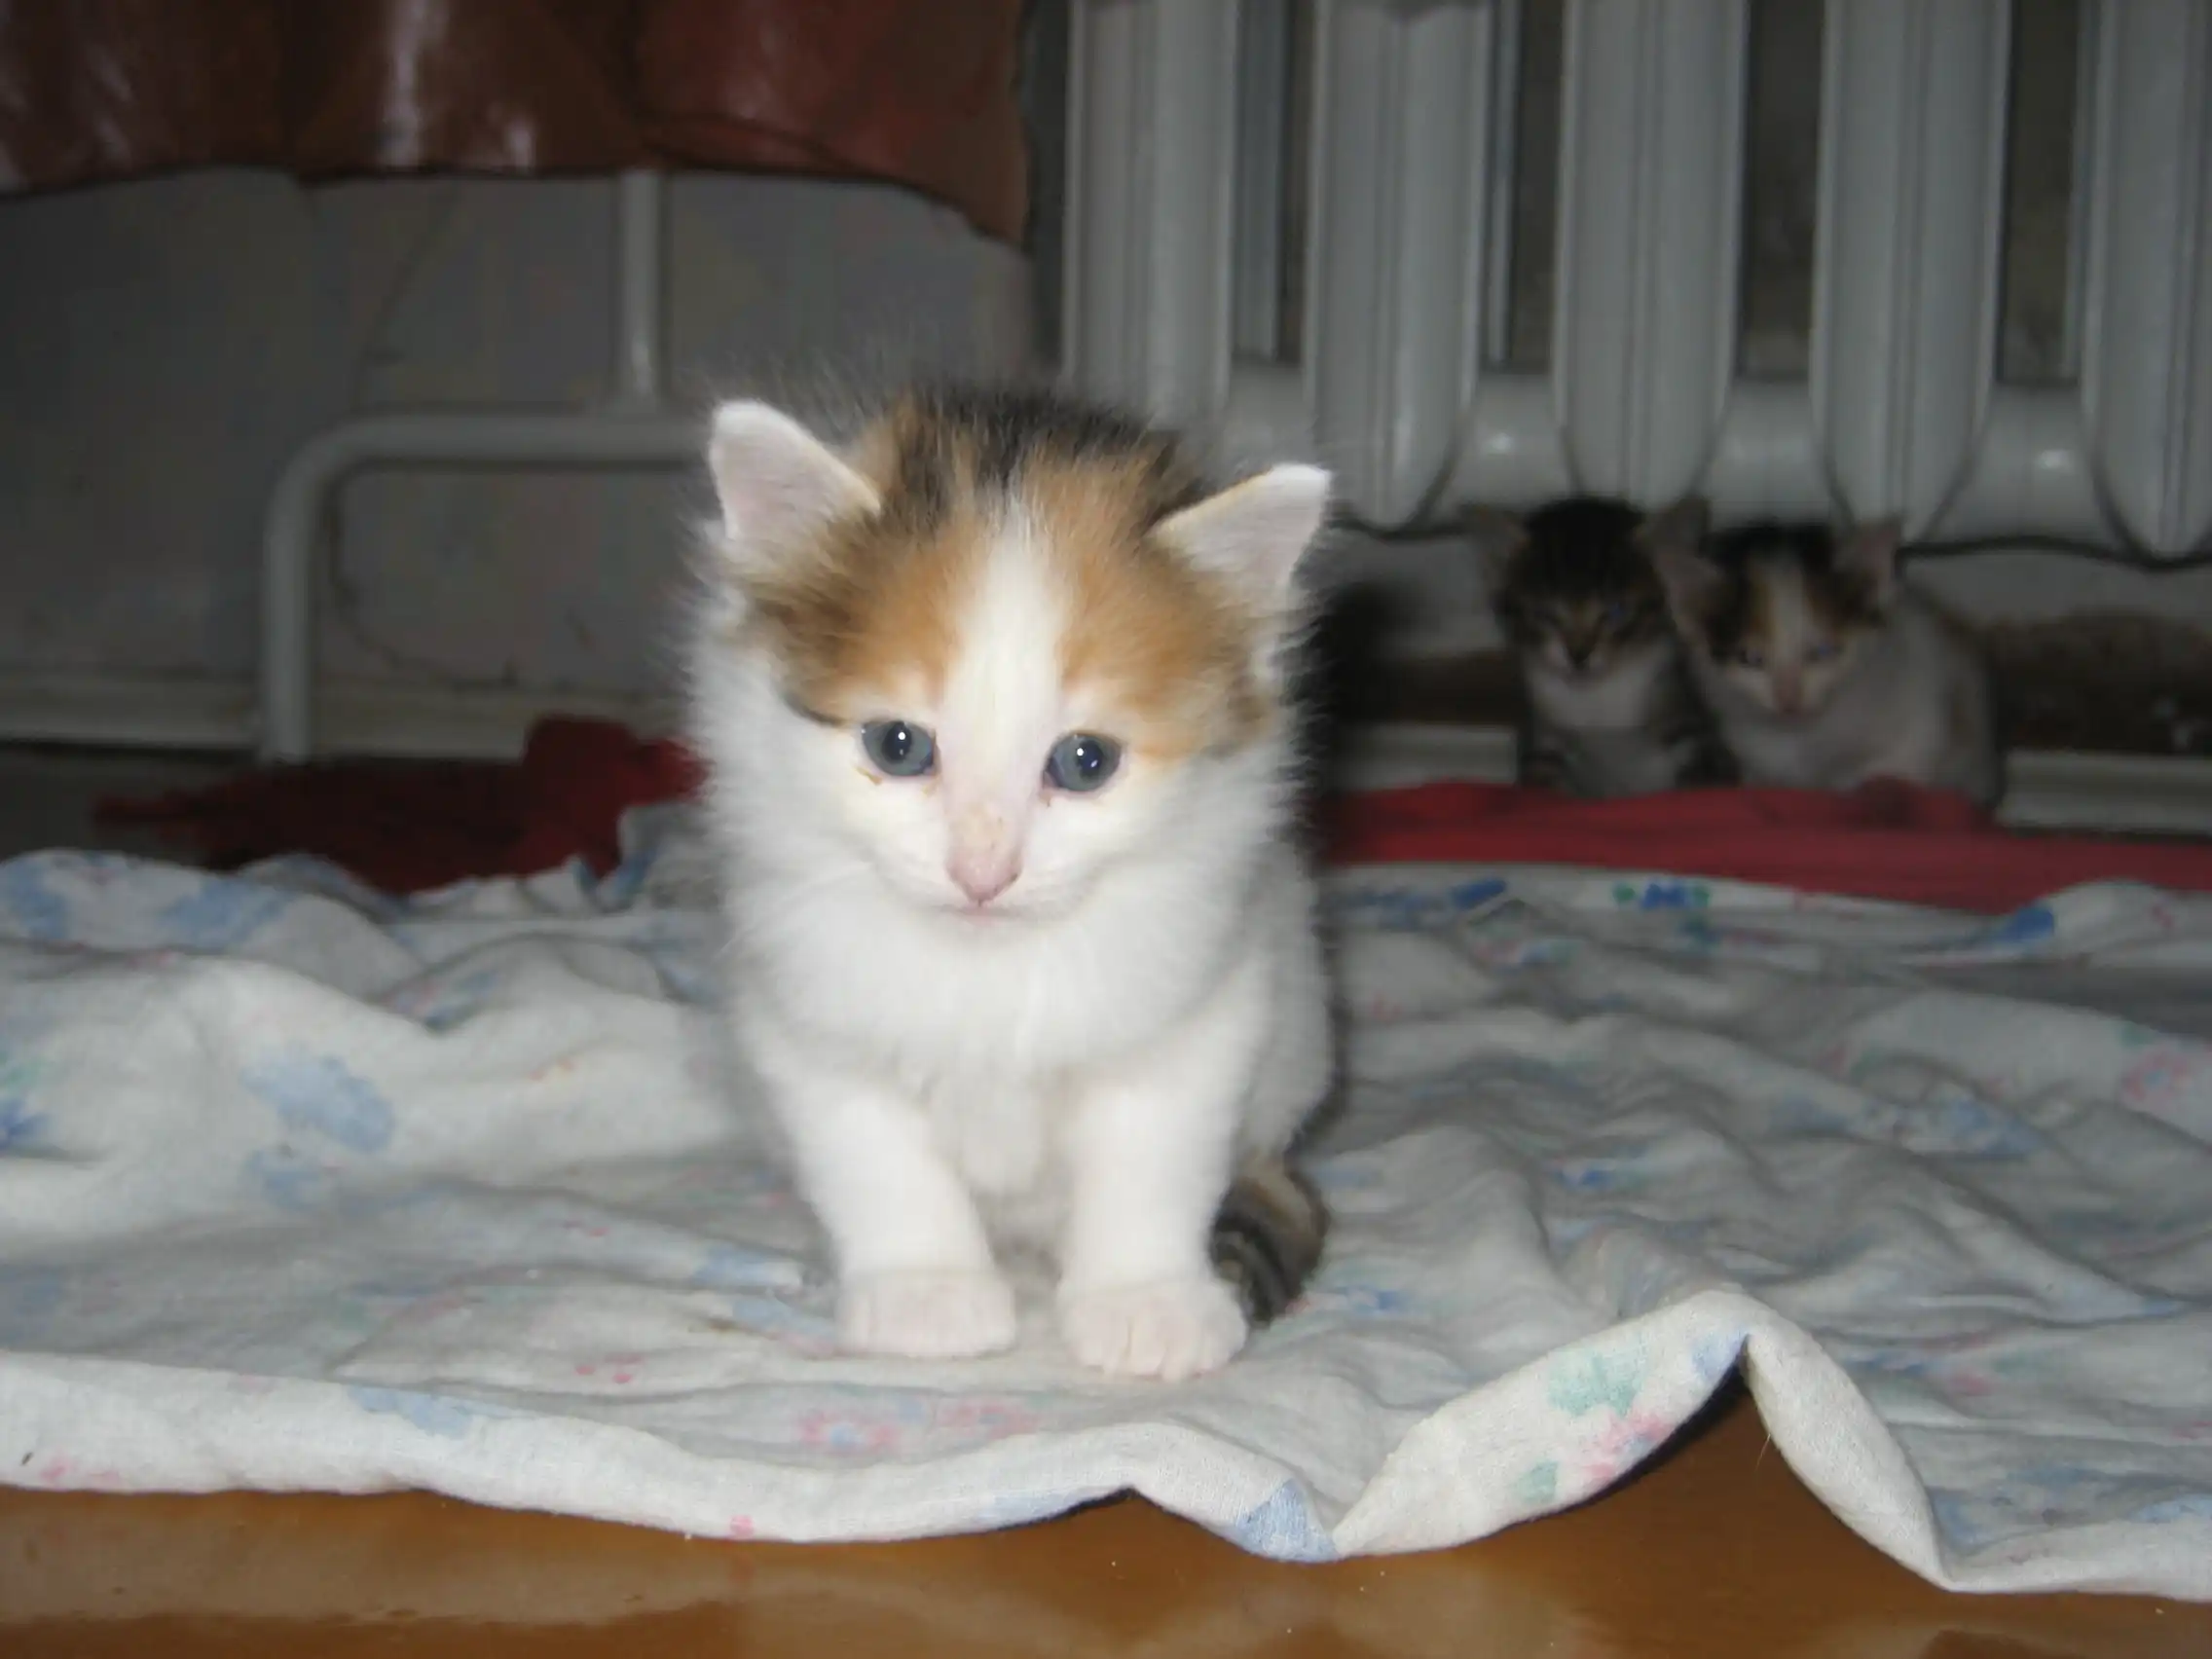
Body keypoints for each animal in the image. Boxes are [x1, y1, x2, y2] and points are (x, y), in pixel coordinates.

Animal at [686, 384, 1334, 1380]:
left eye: (1085, 761)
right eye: (898, 746)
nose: (982, 871)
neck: (988, 963)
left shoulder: (1204, 1005)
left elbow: (1155, 1156)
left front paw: (1146, 1300)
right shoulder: (808, 1023)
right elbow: (874, 1159)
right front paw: (925, 1293)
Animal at [1469, 495, 1736, 796]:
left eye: (1616, 610)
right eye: (1543, 614)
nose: (1578, 655)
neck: (1596, 699)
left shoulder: (1689, 716)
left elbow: (1703, 777)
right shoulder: (1544, 732)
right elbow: (1541, 781)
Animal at [1646, 512, 2003, 807]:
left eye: (1823, 652)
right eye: (1751, 658)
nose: (1788, 700)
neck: (1804, 737)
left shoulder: (1921, 701)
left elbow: (1900, 767)